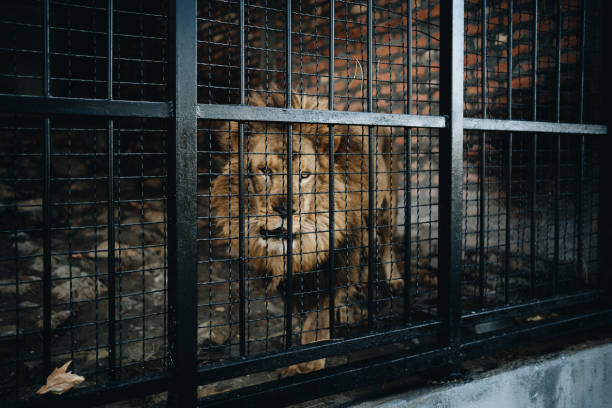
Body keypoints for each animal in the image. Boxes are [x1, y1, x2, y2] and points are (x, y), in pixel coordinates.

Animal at [210, 89, 402, 376]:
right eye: (265, 171)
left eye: (304, 175)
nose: (286, 210)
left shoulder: (335, 263)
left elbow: (318, 319)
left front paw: (309, 363)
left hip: (387, 204)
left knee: (387, 243)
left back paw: (393, 281)